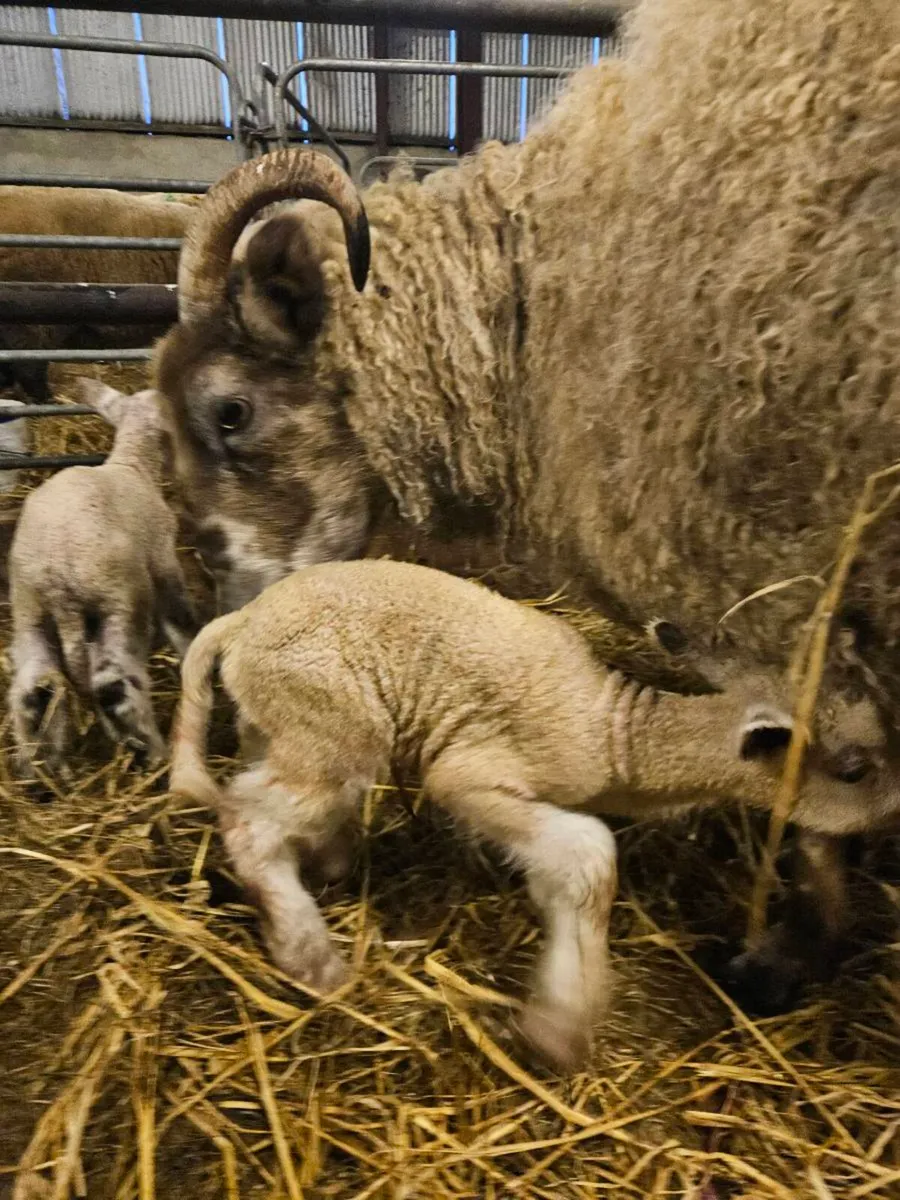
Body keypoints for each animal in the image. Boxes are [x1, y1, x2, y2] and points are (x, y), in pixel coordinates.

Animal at [8, 378, 198, 778]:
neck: (132, 463)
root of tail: (57, 578)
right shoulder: (163, 557)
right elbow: (179, 616)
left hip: (30, 610)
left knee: (33, 690)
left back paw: (39, 769)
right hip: (117, 600)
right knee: (115, 686)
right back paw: (154, 755)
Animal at [170, 559, 900, 1070]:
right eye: (855, 769)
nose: (895, 813)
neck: (614, 735)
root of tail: (242, 622)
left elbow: (560, 875)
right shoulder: (472, 774)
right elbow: (590, 854)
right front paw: (560, 1029)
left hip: (288, 725)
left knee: (264, 792)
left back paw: (326, 868)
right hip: (332, 729)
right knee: (250, 820)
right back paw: (311, 958)